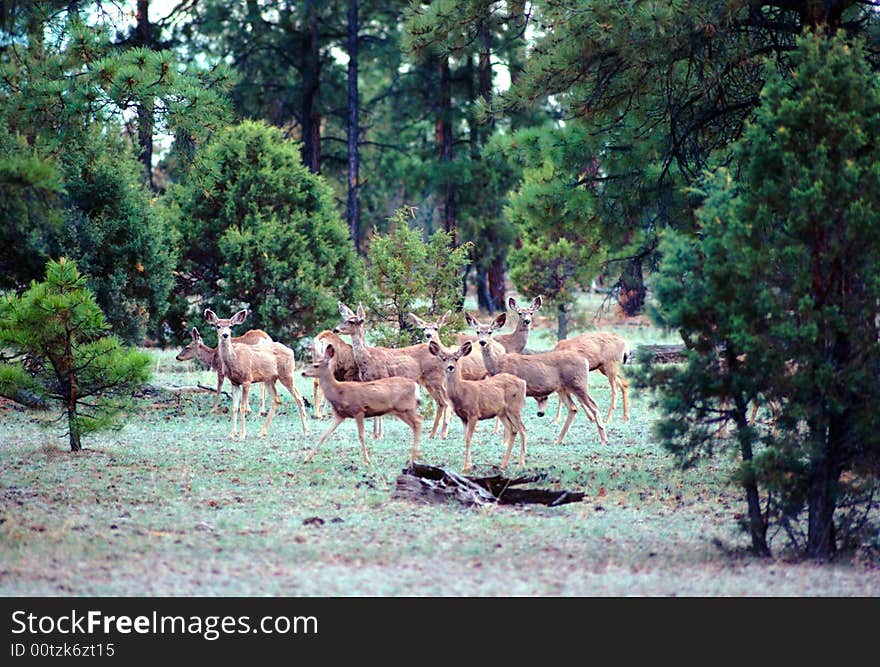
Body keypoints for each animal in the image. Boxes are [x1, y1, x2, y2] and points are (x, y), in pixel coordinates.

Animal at [203, 310, 310, 444]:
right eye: (218, 326)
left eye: (231, 326)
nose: (225, 335)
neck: (234, 360)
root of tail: (291, 351)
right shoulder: (234, 382)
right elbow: (234, 407)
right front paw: (232, 434)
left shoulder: (247, 380)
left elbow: (243, 407)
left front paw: (242, 435)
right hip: (270, 379)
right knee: (276, 400)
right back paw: (261, 432)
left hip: (287, 374)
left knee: (299, 397)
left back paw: (305, 432)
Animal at [428, 342, 524, 472]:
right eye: (444, 358)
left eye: (456, 358)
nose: (450, 367)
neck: (461, 392)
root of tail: (523, 382)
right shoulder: (463, 417)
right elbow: (465, 438)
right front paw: (469, 465)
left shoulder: (474, 413)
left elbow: (469, 438)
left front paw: (466, 467)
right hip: (502, 412)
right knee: (513, 430)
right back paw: (504, 464)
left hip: (514, 408)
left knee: (523, 430)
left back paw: (520, 464)